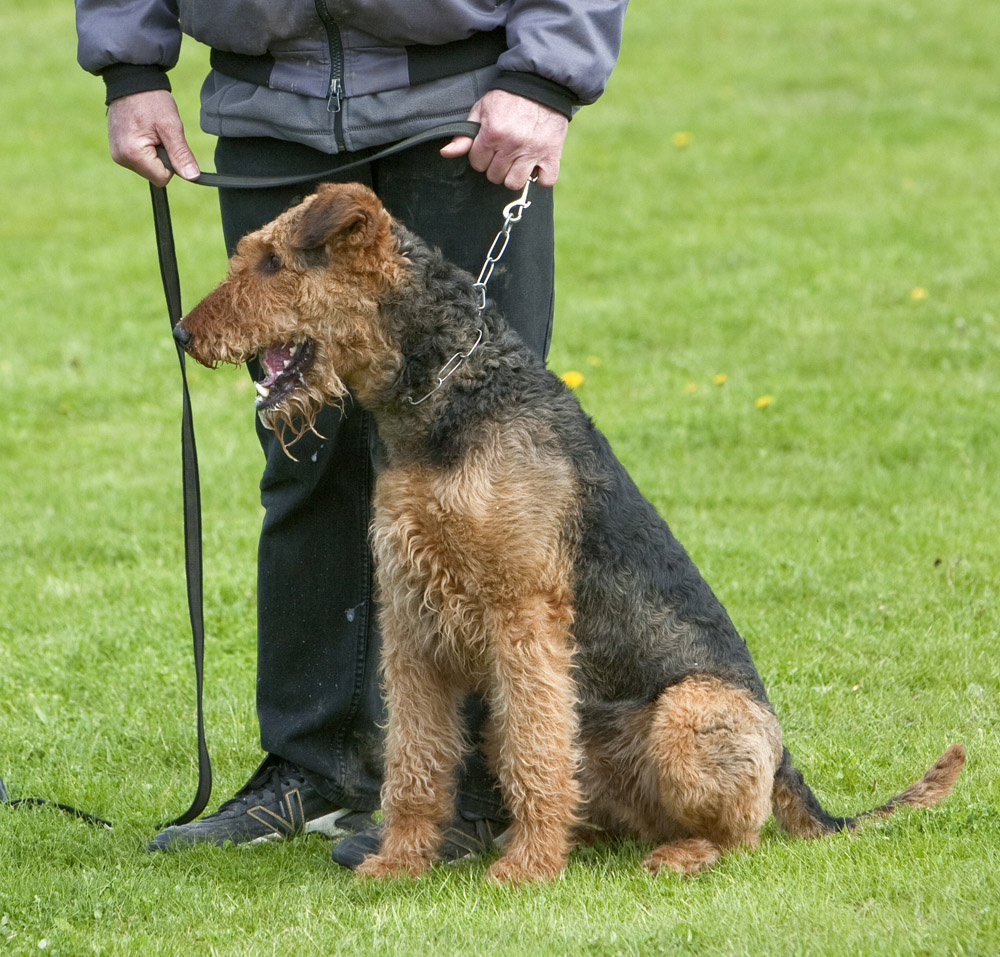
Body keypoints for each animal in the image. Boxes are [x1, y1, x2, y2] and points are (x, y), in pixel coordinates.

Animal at [176, 179, 964, 880]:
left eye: (272, 263)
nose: (184, 333)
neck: (445, 395)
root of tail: (791, 770)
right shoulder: (410, 618)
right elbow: (415, 762)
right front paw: (396, 864)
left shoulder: (523, 614)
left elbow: (531, 756)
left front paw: (526, 873)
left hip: (689, 713)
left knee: (741, 833)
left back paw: (668, 855)